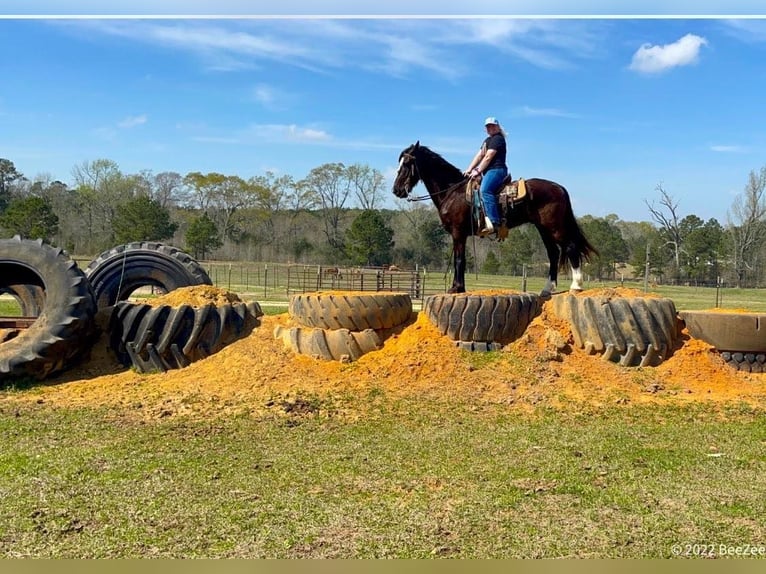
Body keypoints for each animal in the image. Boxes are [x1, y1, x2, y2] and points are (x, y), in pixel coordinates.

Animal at [396, 142, 600, 300]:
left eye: (407, 163)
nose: (396, 190)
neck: (452, 191)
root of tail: (559, 187)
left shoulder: (458, 233)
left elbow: (459, 260)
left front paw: (456, 288)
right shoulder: (459, 235)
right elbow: (459, 260)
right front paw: (458, 287)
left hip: (555, 227)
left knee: (571, 247)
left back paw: (576, 286)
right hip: (543, 229)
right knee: (553, 254)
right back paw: (546, 289)